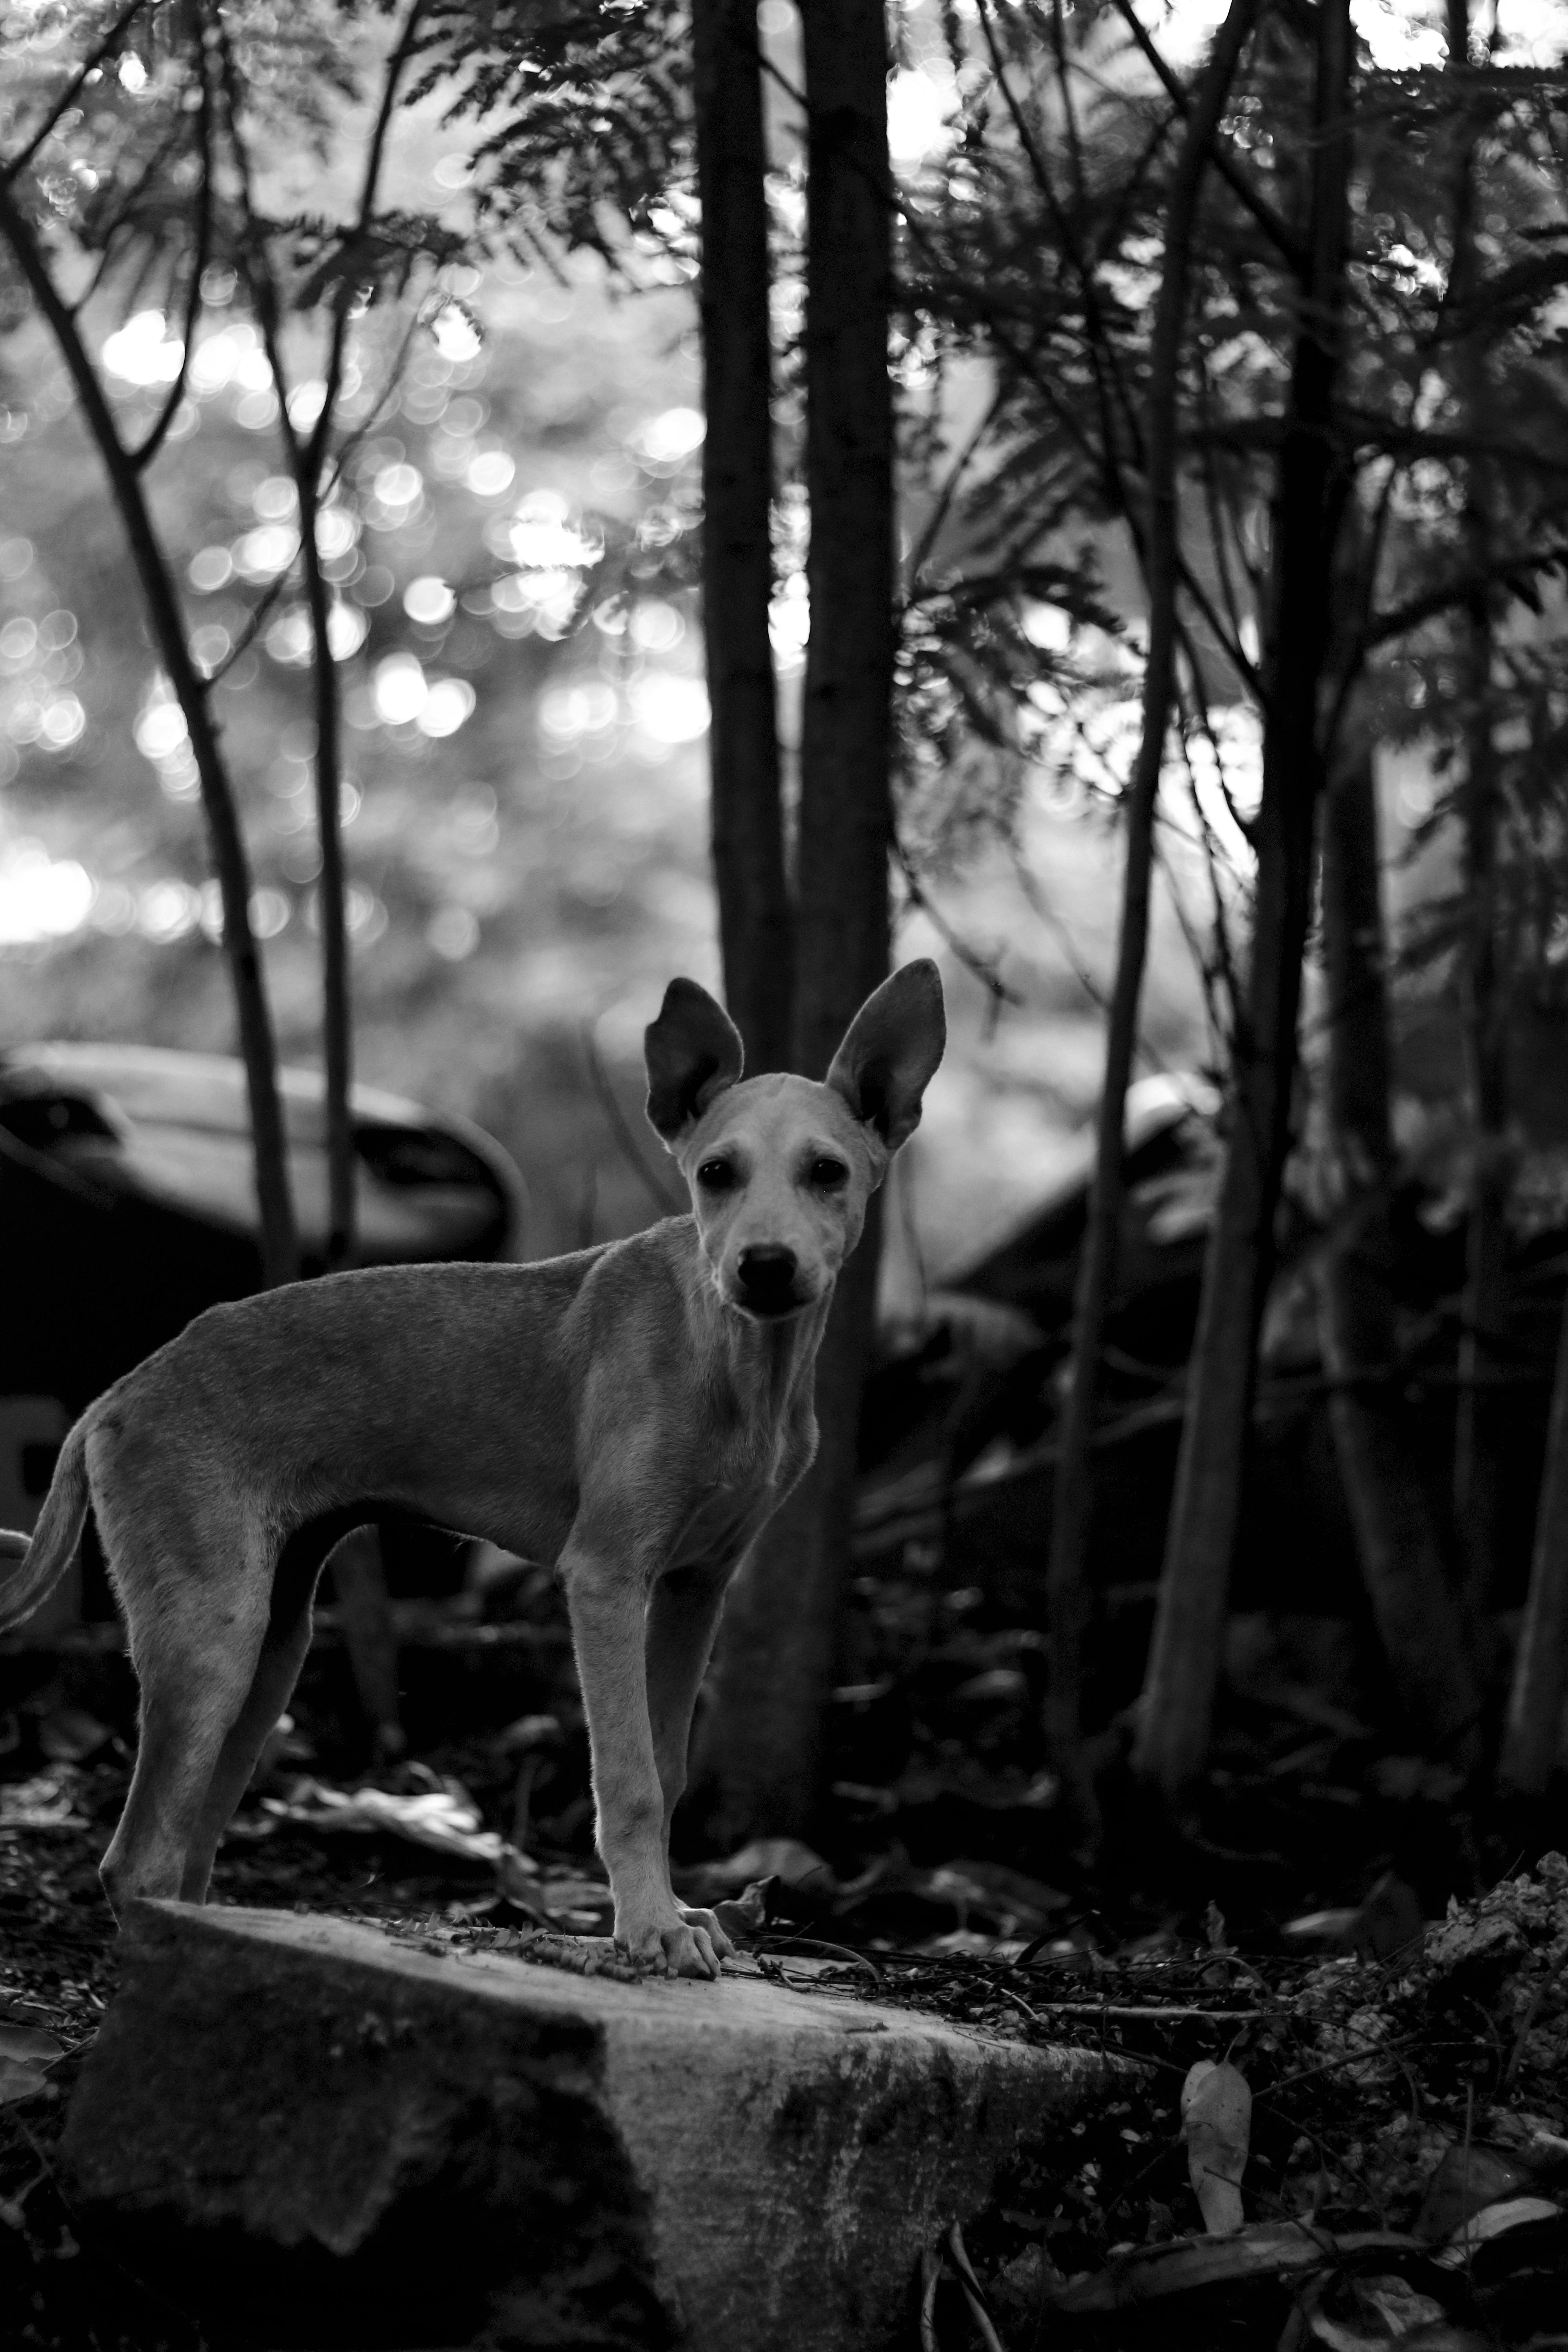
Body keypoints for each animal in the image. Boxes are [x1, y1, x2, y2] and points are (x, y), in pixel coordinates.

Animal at [0, 964, 945, 1976]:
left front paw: (672, 1913)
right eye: (715, 1175)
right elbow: (630, 1780)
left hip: (274, 1641)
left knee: (186, 1849)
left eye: (827, 1173)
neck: (731, 1356)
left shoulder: (695, 1588)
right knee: (135, 1860)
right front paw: (648, 1929)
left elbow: (668, 1765)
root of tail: (120, 1393)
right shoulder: (606, 1578)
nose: (762, 1267)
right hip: (213, 1634)